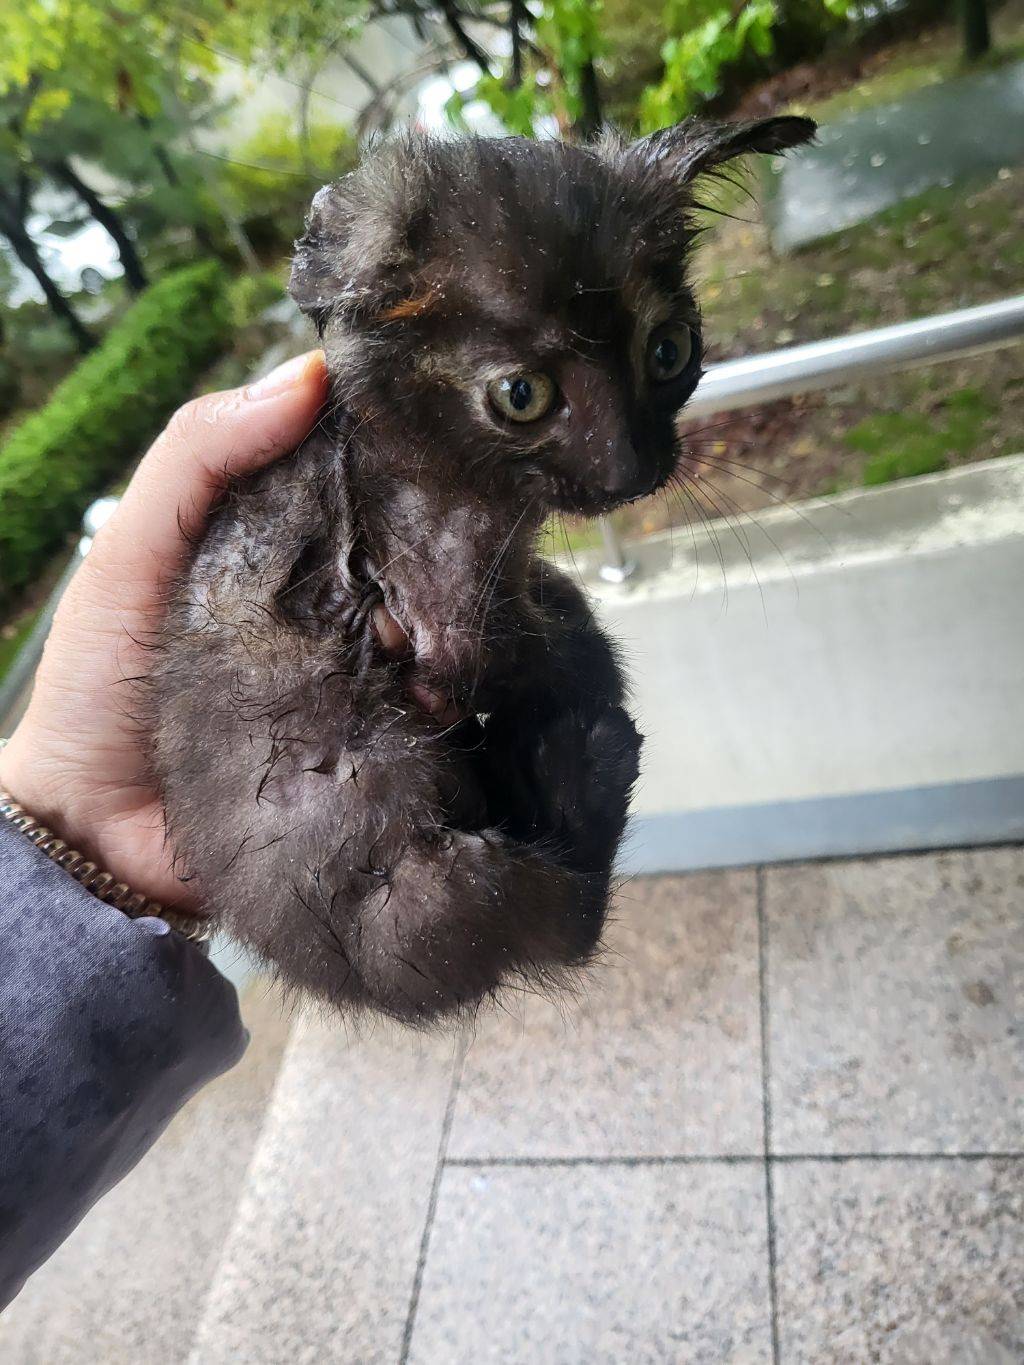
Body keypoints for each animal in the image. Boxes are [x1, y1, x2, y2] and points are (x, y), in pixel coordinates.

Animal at [148, 117, 819, 1021]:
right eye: (522, 395)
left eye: (670, 349)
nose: (635, 470)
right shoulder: (439, 595)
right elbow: (550, 650)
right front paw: (579, 694)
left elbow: (562, 620)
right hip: (422, 889)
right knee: (560, 920)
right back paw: (585, 763)